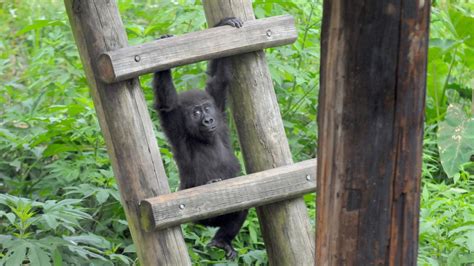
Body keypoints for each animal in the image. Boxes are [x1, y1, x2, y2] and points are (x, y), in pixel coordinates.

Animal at [152, 17, 248, 260]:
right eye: (196, 113)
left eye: (206, 108)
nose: (208, 120)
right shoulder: (175, 123)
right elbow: (167, 101)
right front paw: (163, 64)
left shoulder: (218, 107)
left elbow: (219, 79)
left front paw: (225, 22)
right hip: (201, 216)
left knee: (240, 207)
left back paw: (223, 240)